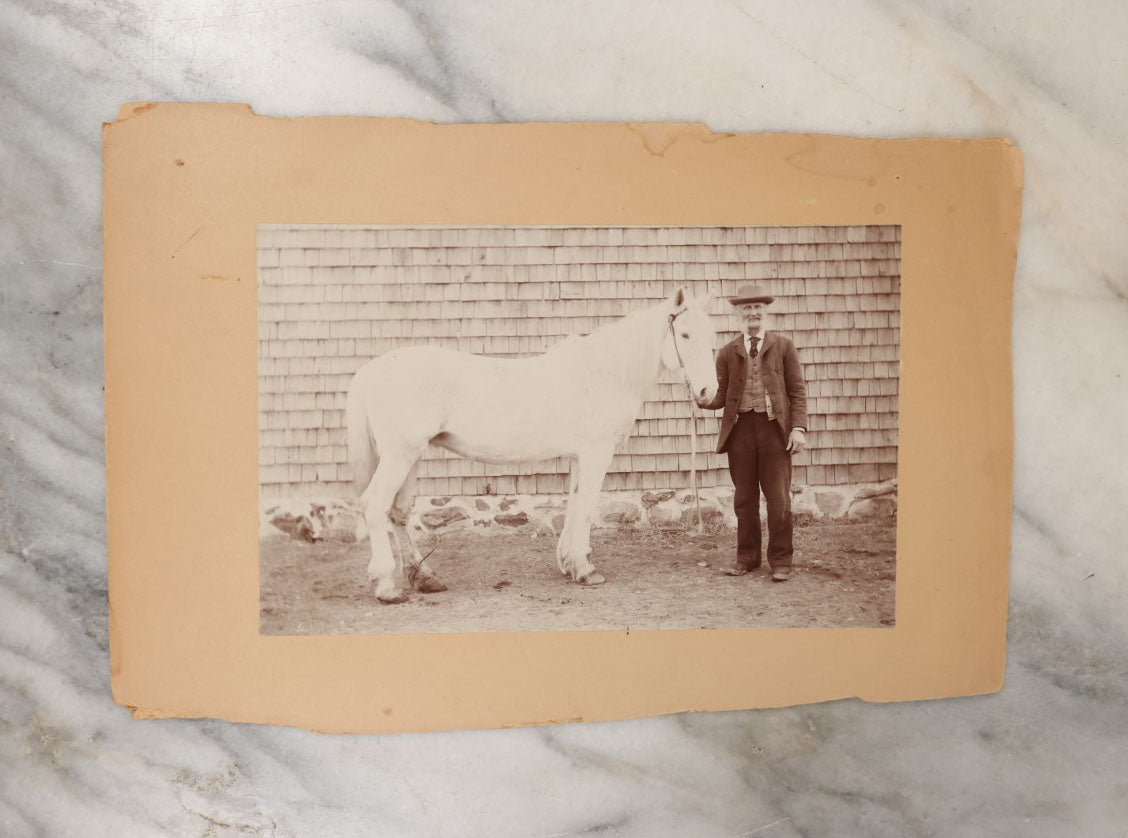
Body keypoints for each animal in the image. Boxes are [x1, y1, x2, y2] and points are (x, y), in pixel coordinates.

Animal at [342, 288, 717, 604]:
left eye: (712, 337)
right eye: (685, 335)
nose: (707, 393)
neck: (605, 372)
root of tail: (371, 370)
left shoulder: (580, 457)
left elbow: (574, 505)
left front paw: (569, 563)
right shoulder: (596, 453)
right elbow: (586, 507)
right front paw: (586, 571)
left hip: (411, 455)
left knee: (398, 513)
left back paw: (425, 578)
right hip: (400, 455)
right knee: (375, 505)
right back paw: (387, 587)